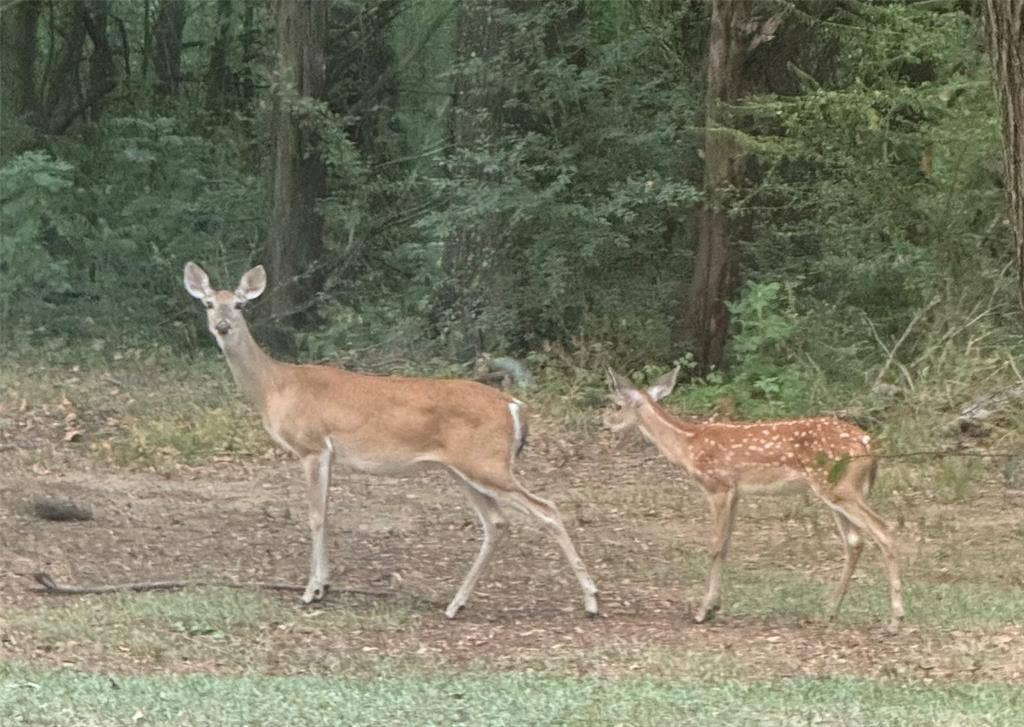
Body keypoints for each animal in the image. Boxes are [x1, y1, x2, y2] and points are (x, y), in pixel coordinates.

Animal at [183, 262, 599, 618]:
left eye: (240, 304)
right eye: (208, 303)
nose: (223, 326)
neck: (275, 386)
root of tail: (514, 406)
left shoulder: (311, 445)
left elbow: (315, 515)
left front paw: (310, 591)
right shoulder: (329, 454)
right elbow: (328, 513)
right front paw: (325, 586)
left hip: (487, 462)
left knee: (546, 509)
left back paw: (592, 601)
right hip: (464, 469)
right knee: (496, 522)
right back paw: (456, 604)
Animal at [604, 366, 904, 634]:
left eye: (617, 404)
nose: (604, 422)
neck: (687, 444)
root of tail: (868, 443)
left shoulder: (718, 486)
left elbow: (714, 546)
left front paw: (702, 612)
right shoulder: (736, 492)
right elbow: (726, 546)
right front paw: (714, 607)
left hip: (839, 488)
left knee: (883, 530)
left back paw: (895, 620)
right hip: (840, 490)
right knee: (855, 541)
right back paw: (828, 612)